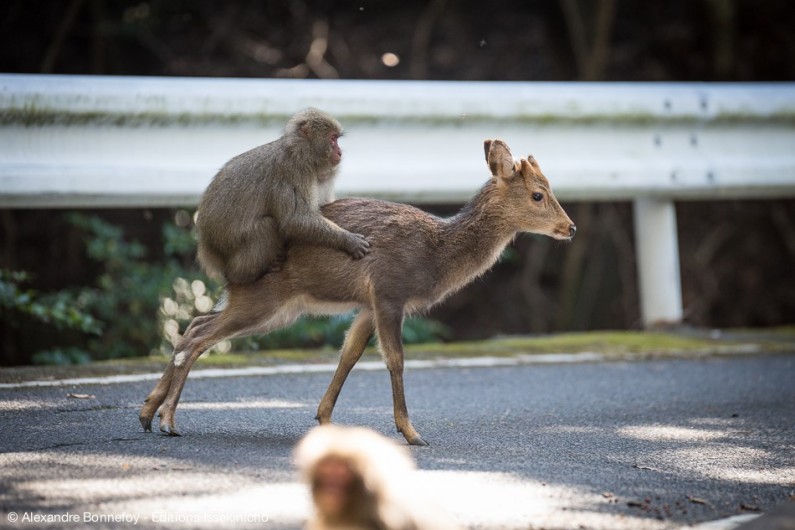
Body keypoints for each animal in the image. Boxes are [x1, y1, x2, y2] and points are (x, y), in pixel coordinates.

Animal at [141, 138, 580, 444]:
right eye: (538, 194)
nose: (571, 227)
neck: (435, 255)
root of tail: (227, 265)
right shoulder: (389, 290)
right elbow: (396, 359)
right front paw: (412, 433)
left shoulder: (368, 304)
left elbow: (349, 354)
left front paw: (324, 418)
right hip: (264, 299)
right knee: (198, 336)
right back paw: (168, 421)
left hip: (274, 306)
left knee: (195, 323)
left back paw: (148, 412)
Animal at [199, 106, 374, 284]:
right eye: (333, 139)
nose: (339, 152)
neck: (300, 152)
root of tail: (208, 248)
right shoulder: (293, 173)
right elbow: (294, 219)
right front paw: (347, 240)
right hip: (228, 247)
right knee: (266, 226)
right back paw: (244, 275)